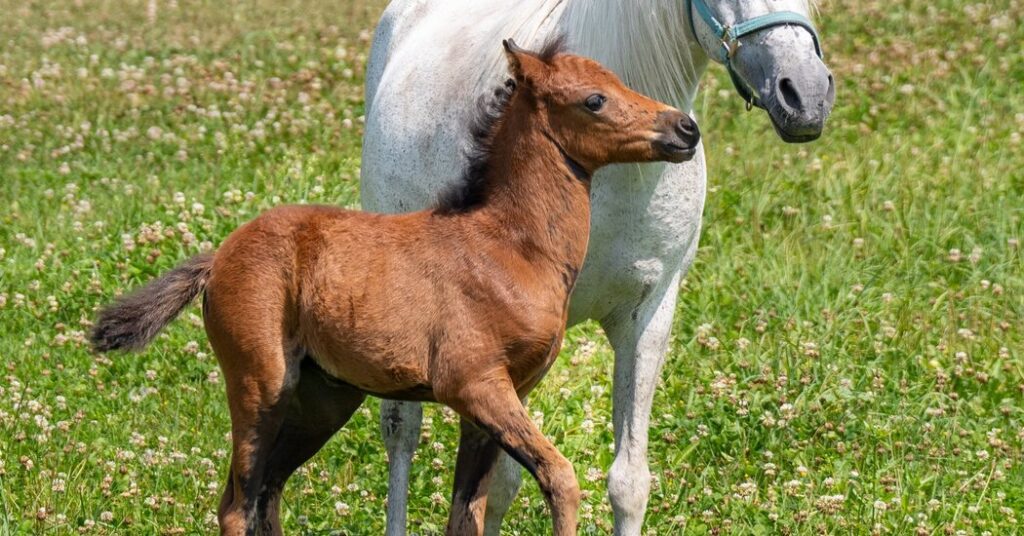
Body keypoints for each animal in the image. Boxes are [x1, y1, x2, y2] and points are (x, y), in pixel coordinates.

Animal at [90, 40, 701, 536]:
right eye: (595, 100)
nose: (685, 130)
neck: (511, 248)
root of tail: (218, 257)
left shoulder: (495, 404)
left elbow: (467, 514)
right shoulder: (475, 385)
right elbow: (560, 475)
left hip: (324, 398)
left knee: (268, 492)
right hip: (259, 384)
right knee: (239, 503)